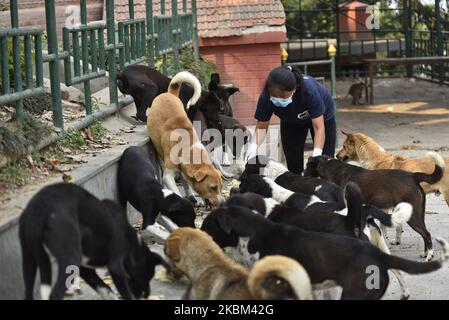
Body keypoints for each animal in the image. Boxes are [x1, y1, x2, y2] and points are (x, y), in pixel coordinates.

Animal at [17, 182, 168, 300]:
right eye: (147, 275)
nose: (146, 295)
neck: (132, 243)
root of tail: (39, 209)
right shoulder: (115, 266)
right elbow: (125, 293)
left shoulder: (86, 270)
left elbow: (105, 289)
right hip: (69, 259)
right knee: (54, 294)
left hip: (29, 260)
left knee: (28, 290)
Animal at [146, 71, 223, 206]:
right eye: (213, 188)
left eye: (221, 187)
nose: (223, 203)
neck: (188, 146)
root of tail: (170, 93)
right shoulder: (168, 176)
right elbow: (174, 188)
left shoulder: (184, 170)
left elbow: (186, 182)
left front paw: (191, 196)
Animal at [302, 154, 442, 262]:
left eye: (307, 165)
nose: (302, 174)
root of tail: (413, 176)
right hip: (418, 213)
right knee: (424, 233)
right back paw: (425, 253)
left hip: (413, 217)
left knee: (426, 234)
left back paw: (429, 256)